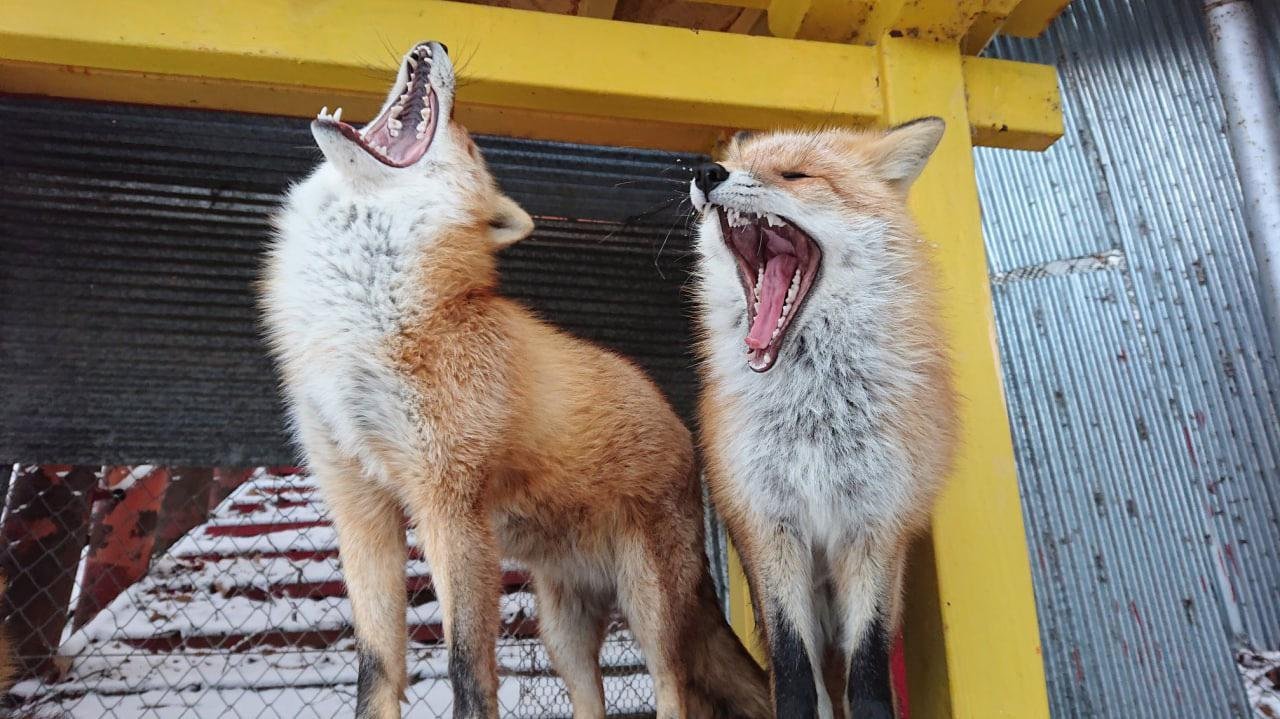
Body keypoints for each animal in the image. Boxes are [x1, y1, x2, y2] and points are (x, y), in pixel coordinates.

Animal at [254, 41, 762, 716]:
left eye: (468, 143)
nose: (438, 45)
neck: (362, 322)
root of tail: (682, 434)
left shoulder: (451, 504)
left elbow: (467, 669)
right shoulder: (358, 504)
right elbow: (376, 671)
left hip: (649, 608)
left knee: (676, 689)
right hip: (561, 630)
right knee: (592, 701)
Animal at [691, 122, 962, 716]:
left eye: (795, 175)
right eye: (735, 163)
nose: (706, 172)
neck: (815, 419)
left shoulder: (875, 526)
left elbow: (868, 675)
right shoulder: (770, 524)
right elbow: (795, 674)